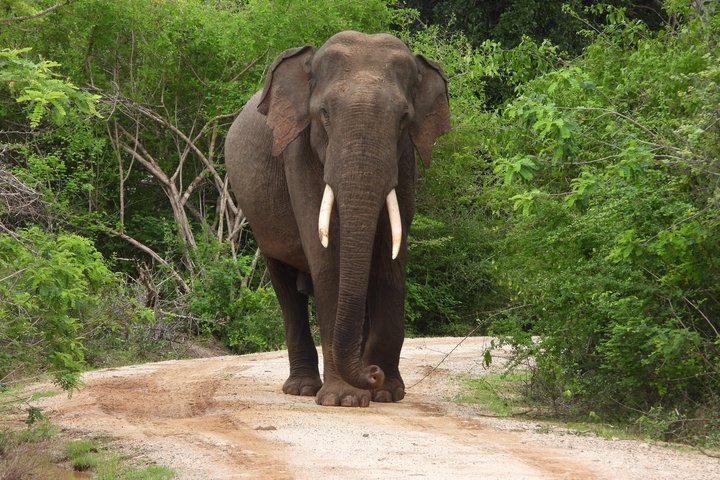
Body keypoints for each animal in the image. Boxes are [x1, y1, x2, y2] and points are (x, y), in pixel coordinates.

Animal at [224, 31, 450, 407]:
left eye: (404, 118)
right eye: (324, 113)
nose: (373, 374)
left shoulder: (404, 159)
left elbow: (390, 257)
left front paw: (386, 393)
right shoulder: (298, 151)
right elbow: (327, 257)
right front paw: (344, 400)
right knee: (286, 289)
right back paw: (302, 389)